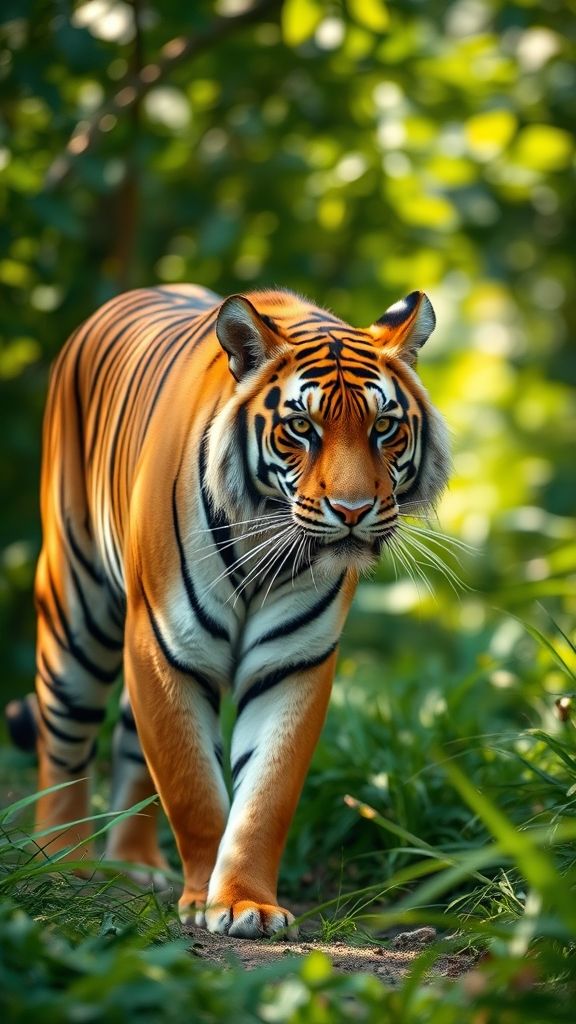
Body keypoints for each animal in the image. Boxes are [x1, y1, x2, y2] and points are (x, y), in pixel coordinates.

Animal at [8, 283, 449, 938]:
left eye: (384, 427)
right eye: (302, 426)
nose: (353, 511)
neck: (268, 545)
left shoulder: (292, 661)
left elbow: (266, 795)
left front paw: (245, 903)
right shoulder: (166, 645)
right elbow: (191, 784)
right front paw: (205, 900)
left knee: (130, 748)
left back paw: (137, 865)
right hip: (74, 610)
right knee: (64, 739)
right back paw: (62, 862)